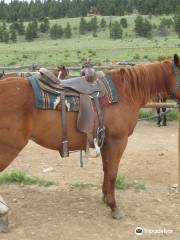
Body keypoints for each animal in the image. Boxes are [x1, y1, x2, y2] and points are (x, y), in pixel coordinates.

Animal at [0, 54, 179, 219]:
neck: (125, 93)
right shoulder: (117, 142)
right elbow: (113, 173)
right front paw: (114, 207)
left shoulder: (105, 143)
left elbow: (106, 170)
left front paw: (105, 198)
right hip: (8, 149)